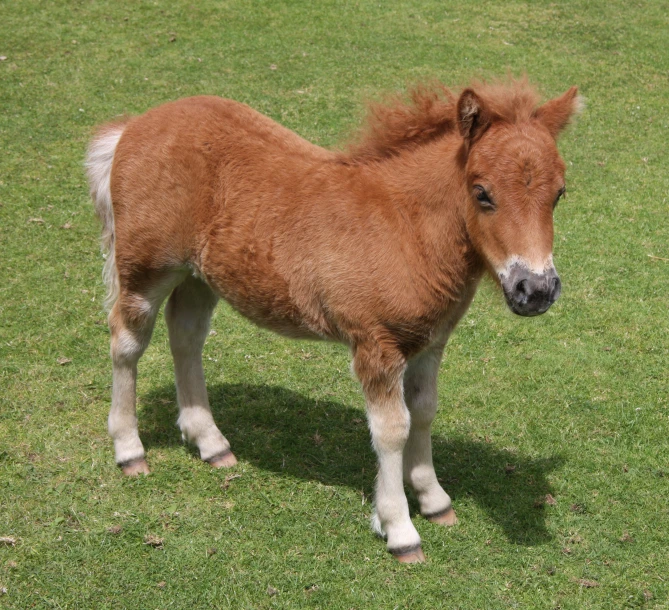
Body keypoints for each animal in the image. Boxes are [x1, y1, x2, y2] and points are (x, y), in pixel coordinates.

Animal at [87, 79, 580, 560]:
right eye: (482, 193)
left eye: (559, 193)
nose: (535, 290)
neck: (406, 228)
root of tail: (135, 126)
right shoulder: (376, 345)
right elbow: (392, 429)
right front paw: (400, 529)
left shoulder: (429, 342)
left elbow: (423, 412)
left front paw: (433, 498)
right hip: (146, 266)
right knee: (126, 341)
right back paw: (129, 450)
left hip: (199, 275)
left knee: (186, 336)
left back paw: (211, 442)